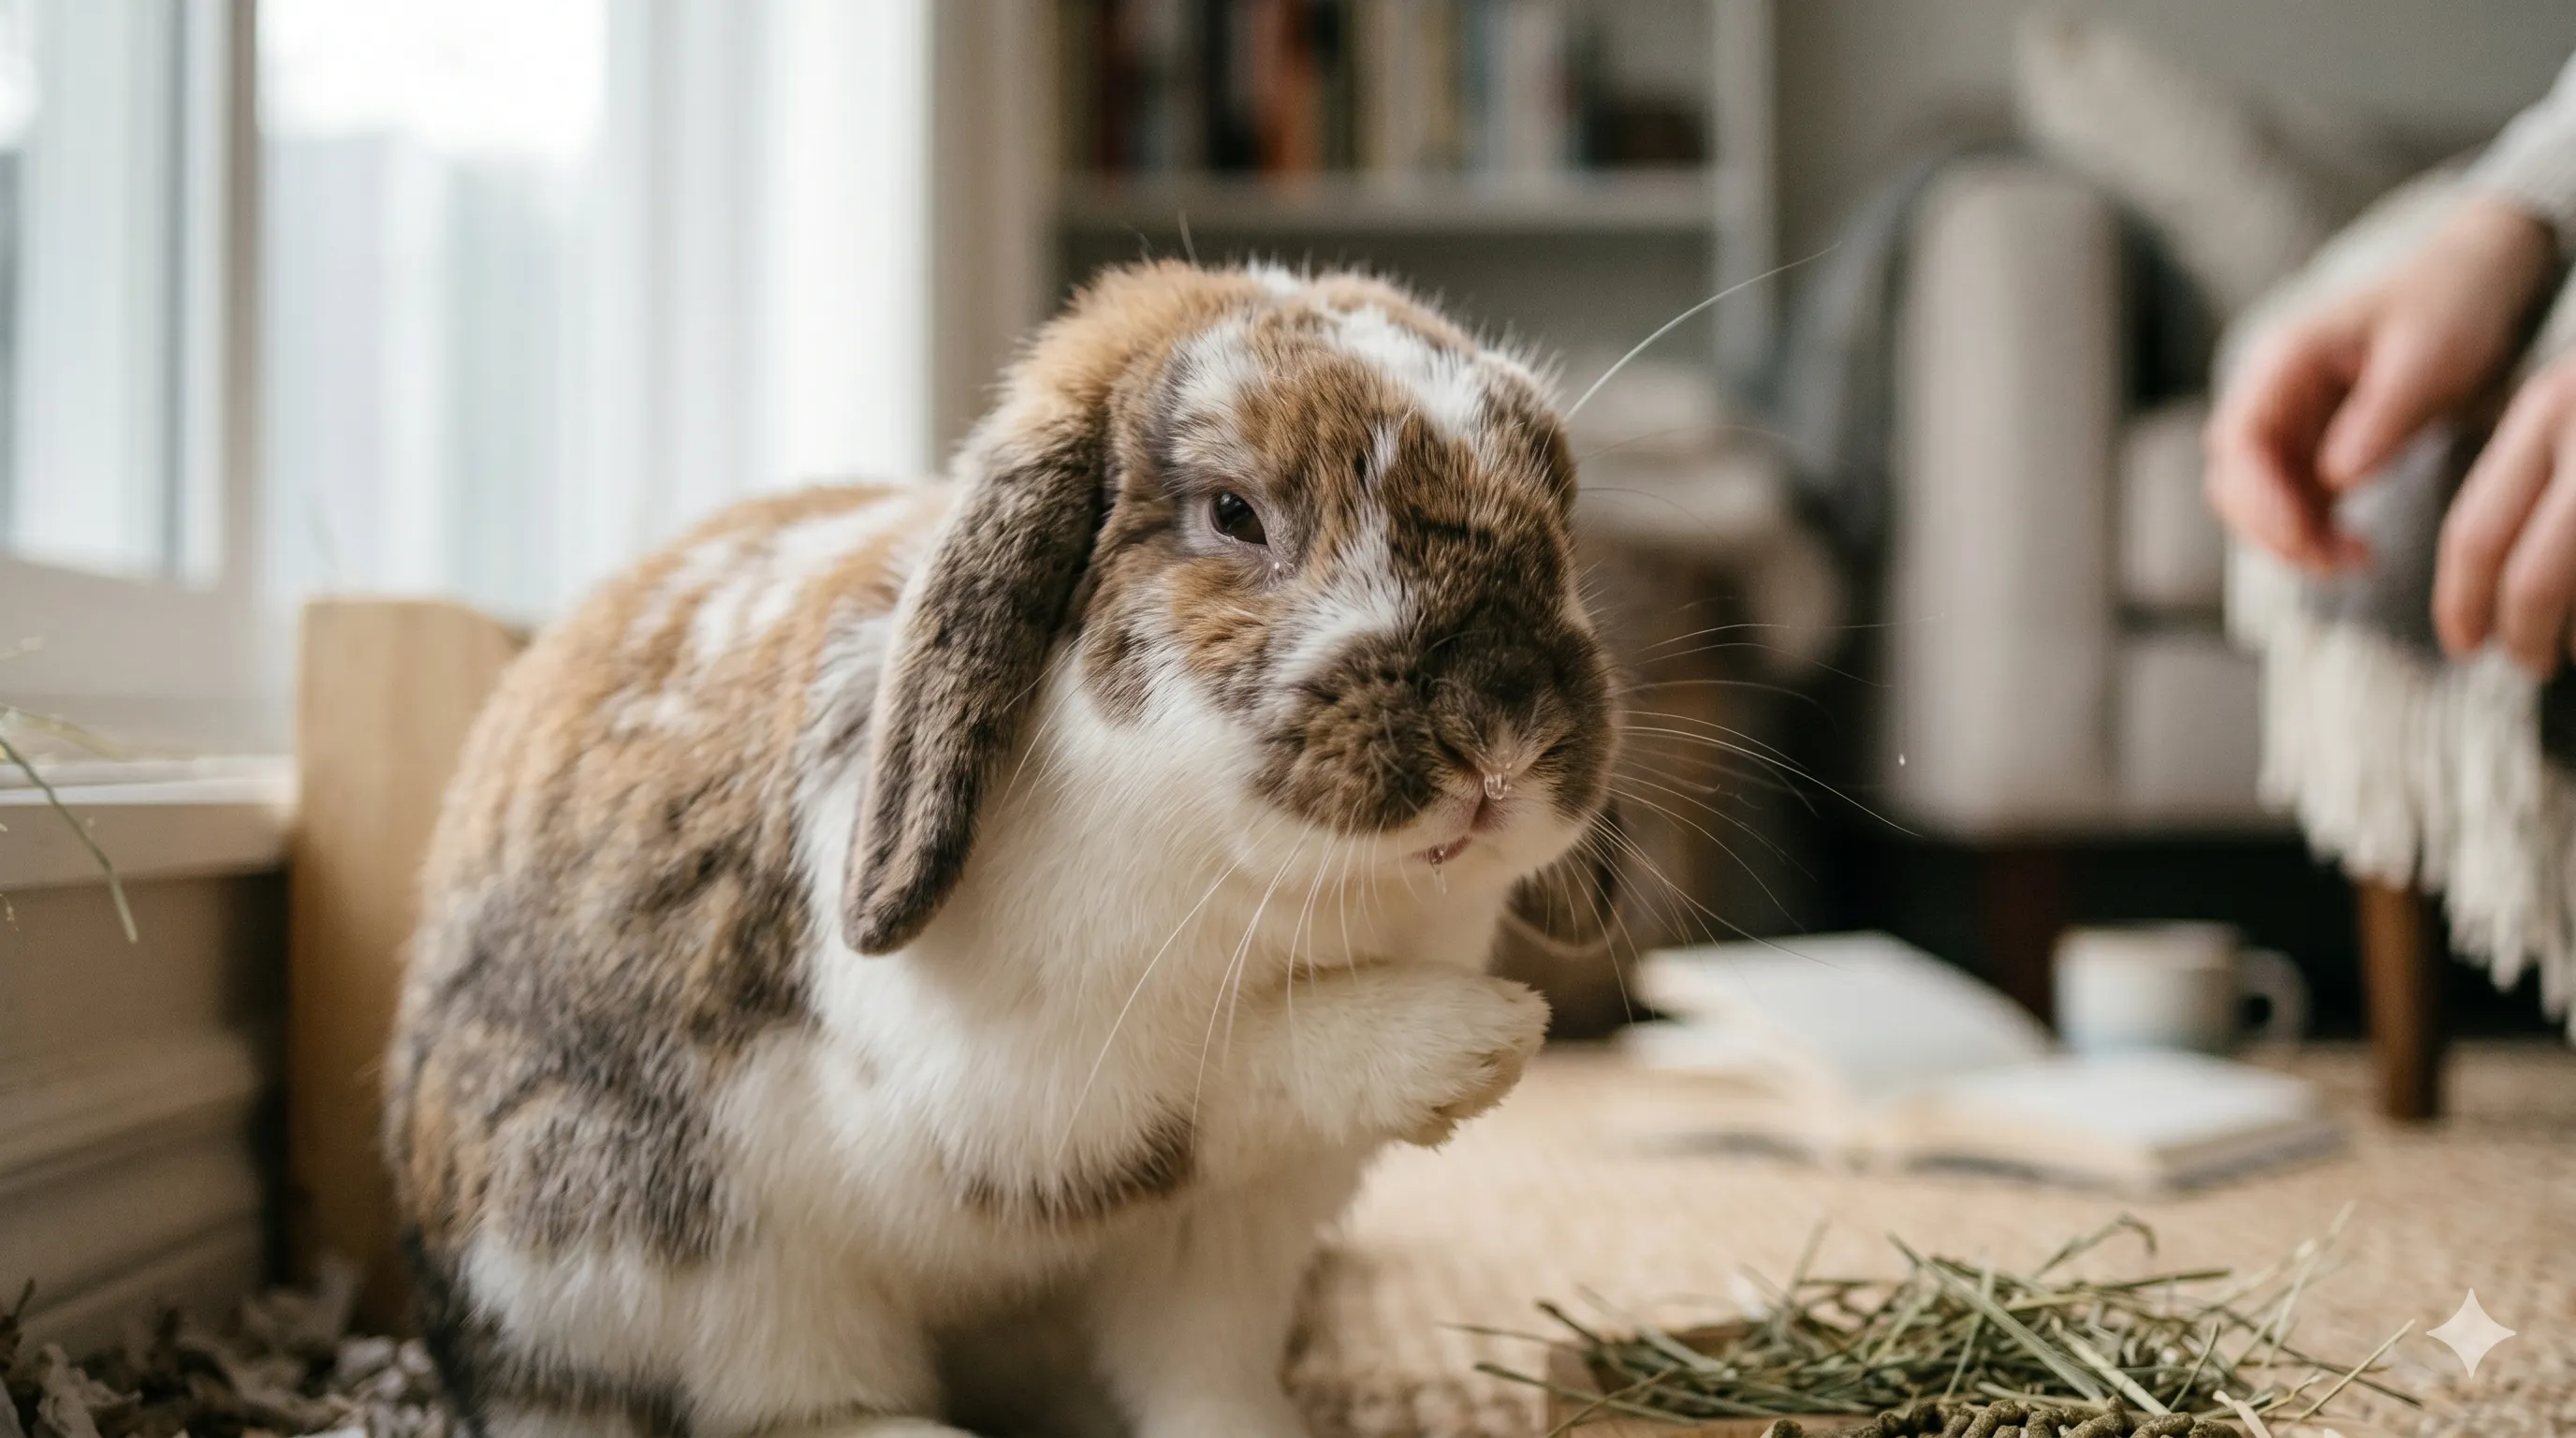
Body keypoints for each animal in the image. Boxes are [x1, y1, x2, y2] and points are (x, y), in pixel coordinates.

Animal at [384, 259, 1620, 1438]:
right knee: (786, 1407)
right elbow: (1233, 1058)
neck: (1287, 898)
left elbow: (1204, 1379)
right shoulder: (1034, 1084)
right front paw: (1481, 1040)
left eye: (1557, 513)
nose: (1501, 731)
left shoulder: (1225, 1241)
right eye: (1234, 513)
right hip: (673, 1256)